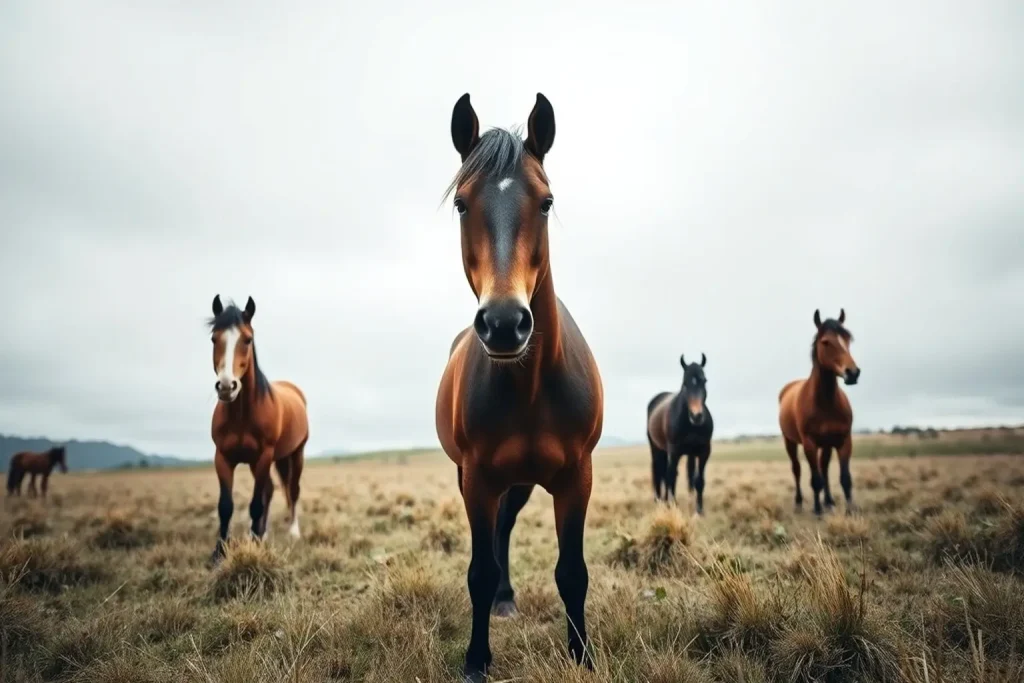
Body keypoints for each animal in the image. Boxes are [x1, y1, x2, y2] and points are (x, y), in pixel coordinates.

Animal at [207, 295, 309, 564]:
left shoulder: (264, 456)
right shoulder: (223, 458)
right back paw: (263, 533)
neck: (242, 414)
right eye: (214, 338)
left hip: (295, 454)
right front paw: (220, 551)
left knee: (292, 489)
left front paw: (253, 545)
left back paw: (293, 531)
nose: (226, 386)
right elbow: (226, 506)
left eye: (247, 339)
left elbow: (255, 504)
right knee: (271, 491)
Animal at [435, 93, 604, 682]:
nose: (505, 324)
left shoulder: (576, 477)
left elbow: (572, 571)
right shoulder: (478, 478)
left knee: (505, 528)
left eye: (547, 202)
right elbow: (478, 570)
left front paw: (582, 655)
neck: (531, 387)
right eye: (462, 204)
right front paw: (475, 660)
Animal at [646, 353, 715, 514]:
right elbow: (671, 477)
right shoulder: (674, 451)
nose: (697, 416)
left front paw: (699, 511)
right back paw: (660, 501)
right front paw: (673, 505)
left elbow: (698, 481)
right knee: (660, 472)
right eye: (685, 384)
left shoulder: (704, 452)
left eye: (704, 381)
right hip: (656, 449)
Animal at [778, 309, 861, 516]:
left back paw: (829, 501)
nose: (853, 373)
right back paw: (800, 502)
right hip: (790, 442)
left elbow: (845, 478)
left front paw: (850, 510)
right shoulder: (810, 443)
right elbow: (815, 479)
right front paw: (817, 511)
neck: (826, 403)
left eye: (847, 339)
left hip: (827, 444)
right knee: (797, 469)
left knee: (824, 467)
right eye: (826, 342)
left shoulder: (843, 440)